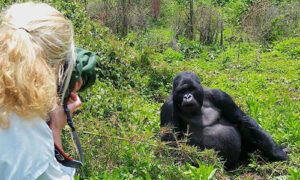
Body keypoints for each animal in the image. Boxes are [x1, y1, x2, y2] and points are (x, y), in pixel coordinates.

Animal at [161, 71, 290, 167]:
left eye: (191, 89)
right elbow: (169, 142)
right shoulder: (168, 106)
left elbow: (242, 118)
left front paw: (278, 154)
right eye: (182, 91)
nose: (187, 96)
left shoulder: (220, 95)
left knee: (245, 124)